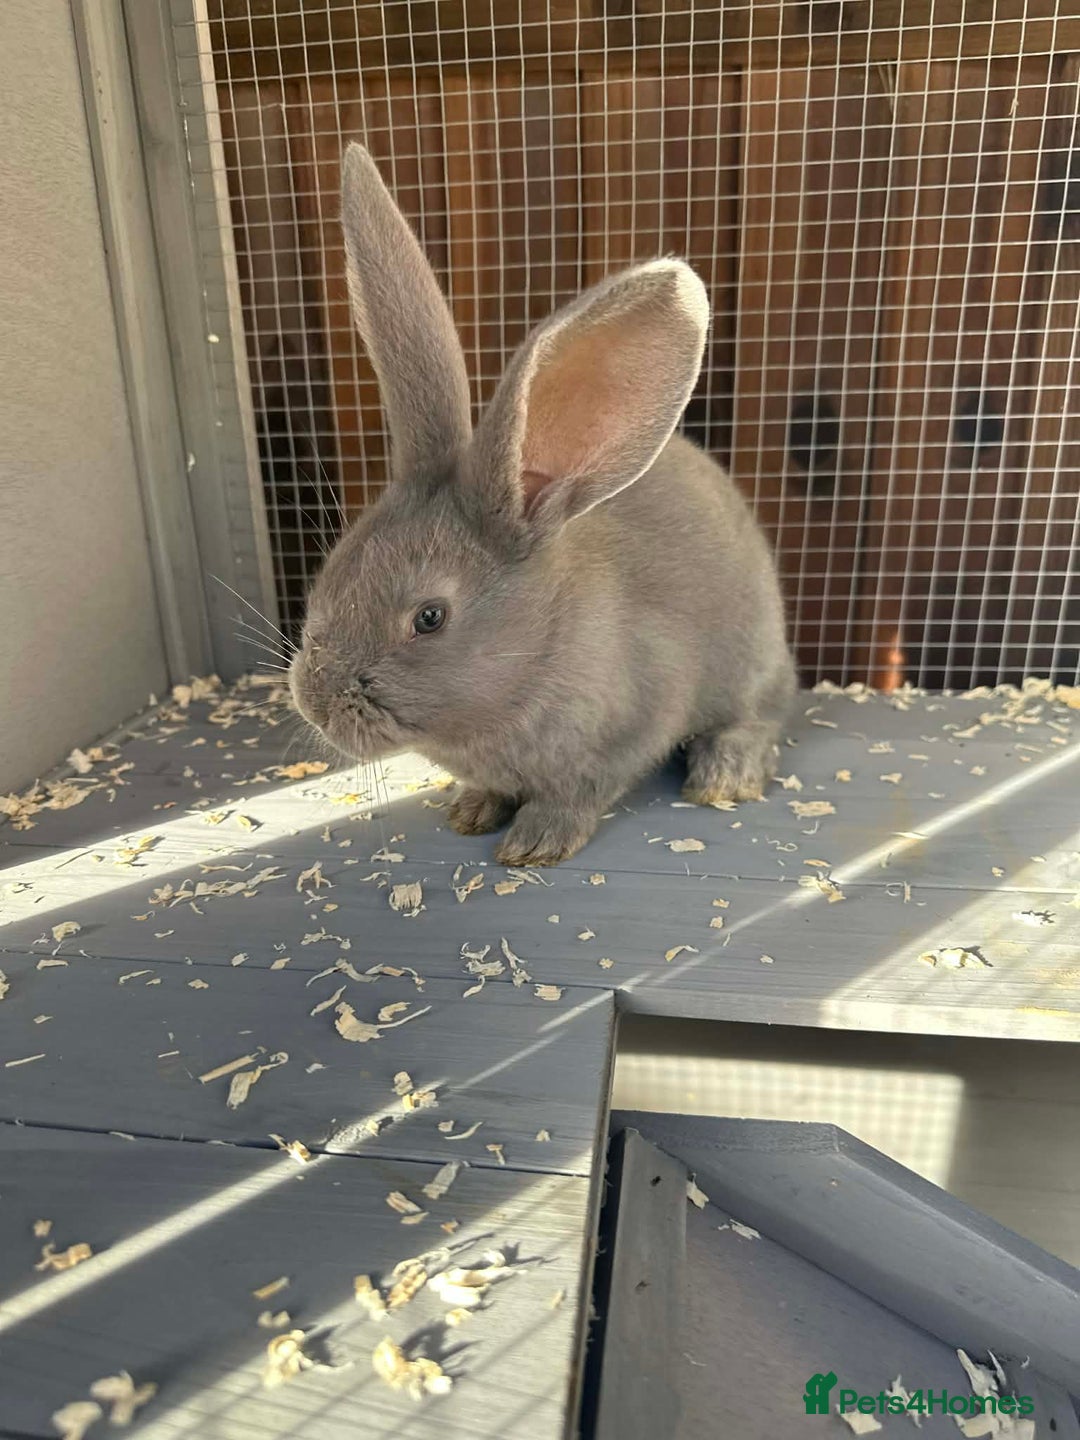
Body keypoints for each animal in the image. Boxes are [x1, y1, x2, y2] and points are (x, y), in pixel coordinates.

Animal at [289, 143, 796, 867]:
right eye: (330, 574)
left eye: (429, 618)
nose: (315, 702)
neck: (541, 649)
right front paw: (472, 811)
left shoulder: (630, 727)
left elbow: (578, 792)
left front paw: (534, 844)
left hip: (752, 662)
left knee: (760, 716)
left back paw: (723, 775)